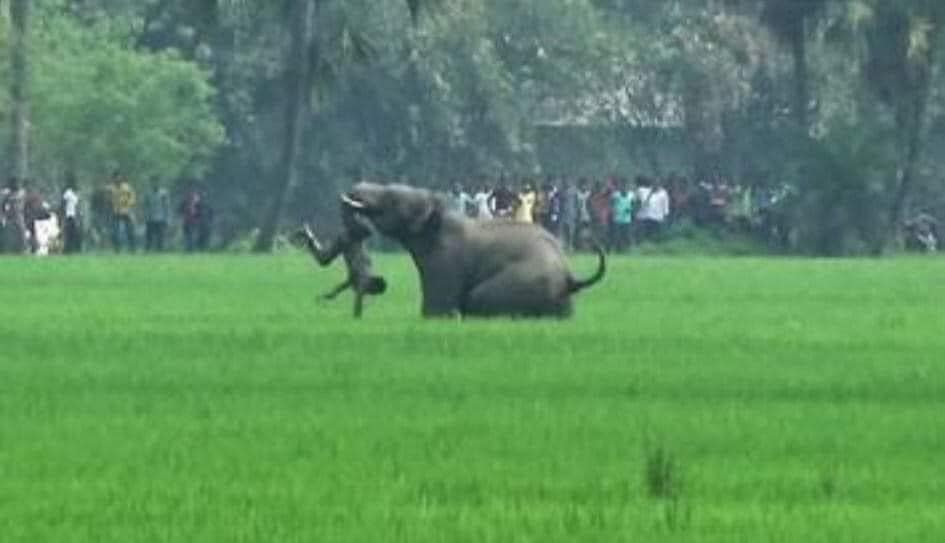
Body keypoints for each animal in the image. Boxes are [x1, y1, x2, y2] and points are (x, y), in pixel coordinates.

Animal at [342, 183, 604, 318]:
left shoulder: (445, 260)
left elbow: (436, 308)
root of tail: (570, 278)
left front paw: (437, 317)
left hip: (524, 282)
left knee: (478, 297)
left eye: (392, 199)